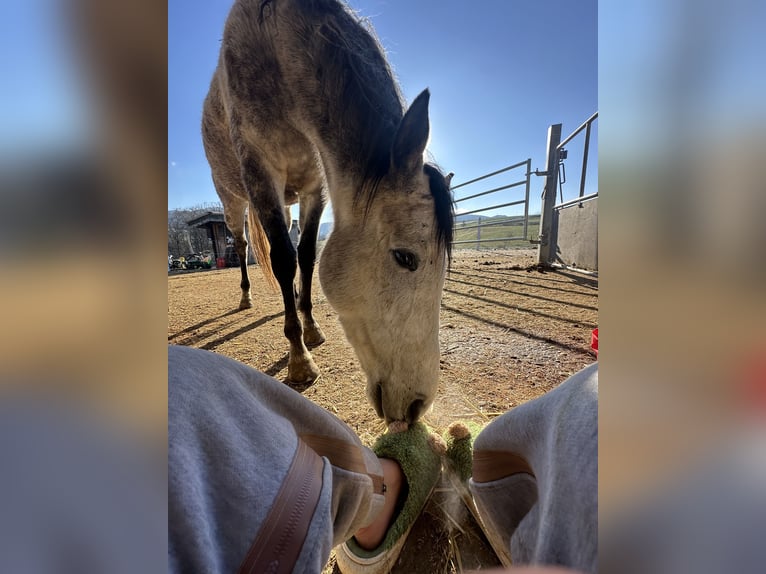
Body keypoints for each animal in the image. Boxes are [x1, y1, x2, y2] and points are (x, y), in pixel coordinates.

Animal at [202, 0, 456, 424]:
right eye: (405, 257)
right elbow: (284, 259)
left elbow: (306, 255)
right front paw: (299, 360)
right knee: (242, 247)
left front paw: (311, 328)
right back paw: (246, 298)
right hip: (234, 201)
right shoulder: (261, 171)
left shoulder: (314, 186)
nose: (418, 406)